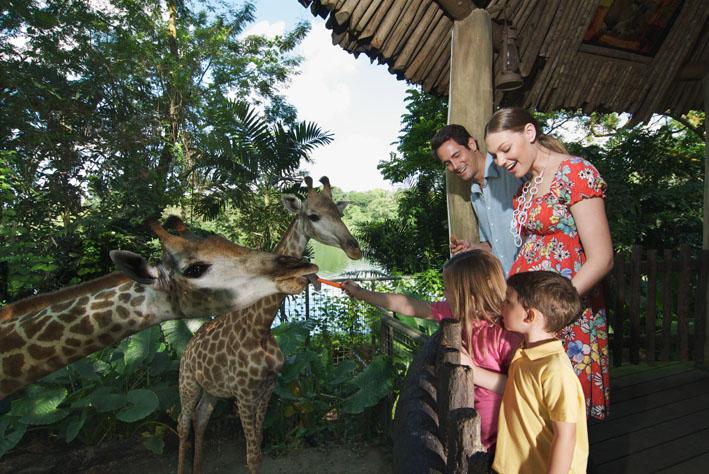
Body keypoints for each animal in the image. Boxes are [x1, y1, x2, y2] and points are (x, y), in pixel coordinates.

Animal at [180, 178, 362, 474]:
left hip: (212, 390)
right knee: (183, 424)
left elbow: (259, 451)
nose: (354, 248)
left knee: (201, 418)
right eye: (313, 216)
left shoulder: (266, 391)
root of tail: (188, 345)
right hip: (188, 383)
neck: (261, 327)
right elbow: (251, 456)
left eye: (339, 213)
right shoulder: (243, 395)